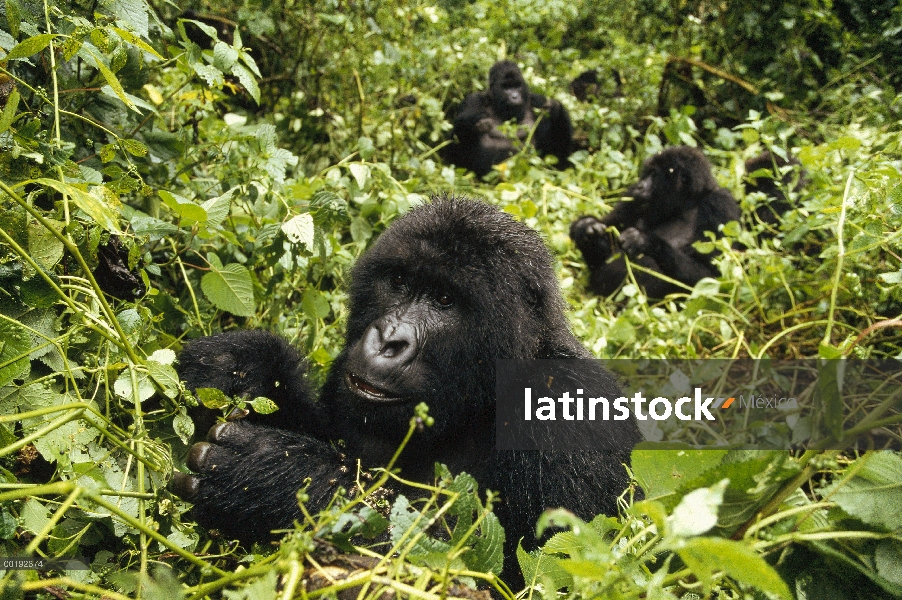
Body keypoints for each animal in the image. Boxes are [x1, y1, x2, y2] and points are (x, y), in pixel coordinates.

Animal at [173, 197, 644, 580]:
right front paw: (242, 367)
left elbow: (507, 574)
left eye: (443, 300)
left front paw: (276, 479)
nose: (387, 340)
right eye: (398, 282)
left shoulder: (572, 414)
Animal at [448, 61, 576, 178]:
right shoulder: (472, 100)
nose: (514, 96)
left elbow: (557, 157)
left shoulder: (539, 102)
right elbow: (453, 148)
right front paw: (473, 121)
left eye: (517, 86)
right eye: (506, 87)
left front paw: (556, 109)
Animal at [572, 144, 740, 298]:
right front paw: (585, 227)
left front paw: (644, 241)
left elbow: (713, 278)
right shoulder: (631, 197)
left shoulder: (720, 205)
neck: (686, 205)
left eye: (654, 175)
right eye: (647, 173)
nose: (639, 186)